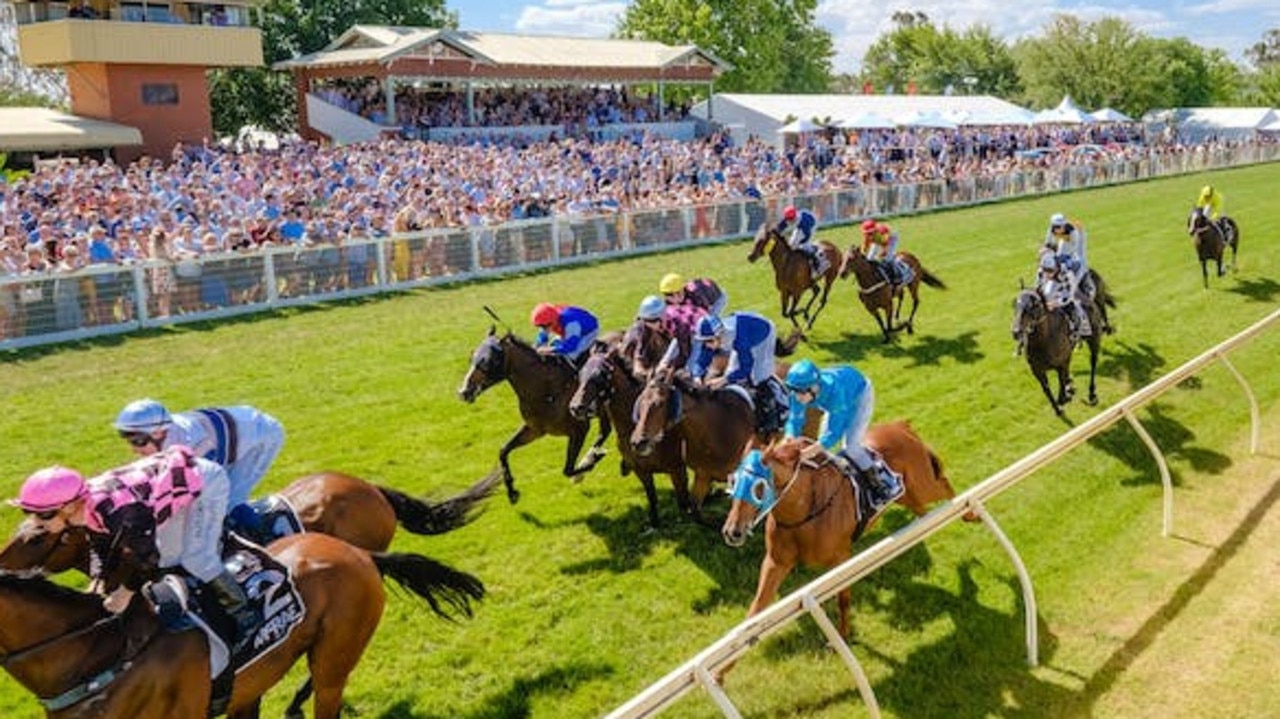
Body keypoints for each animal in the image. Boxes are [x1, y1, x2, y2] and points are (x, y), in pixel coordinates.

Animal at [460, 326, 609, 504]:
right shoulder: (535, 430)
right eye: (472, 358)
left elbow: (568, 469)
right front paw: (512, 492)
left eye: (488, 361)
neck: (545, 390)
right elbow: (503, 451)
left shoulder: (579, 428)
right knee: (605, 431)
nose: (464, 392)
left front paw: (587, 466)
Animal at [568, 345, 691, 524]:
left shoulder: (677, 469)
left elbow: (685, 501)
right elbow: (652, 497)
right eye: (581, 373)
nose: (576, 407)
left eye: (600, 375)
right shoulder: (641, 470)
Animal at [721, 422, 962, 634]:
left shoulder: (840, 559)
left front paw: (844, 634)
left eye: (758, 487)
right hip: (908, 496)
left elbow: (843, 600)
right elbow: (755, 610)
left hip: (922, 484)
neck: (804, 513)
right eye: (732, 482)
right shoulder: (775, 563)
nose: (732, 532)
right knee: (923, 508)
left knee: (943, 485)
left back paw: (967, 512)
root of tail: (901, 426)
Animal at [1013, 282, 1105, 411]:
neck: (1043, 342)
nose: (1016, 332)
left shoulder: (1060, 363)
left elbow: (1061, 386)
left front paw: (1064, 397)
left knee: (1093, 362)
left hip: (1094, 340)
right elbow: (1046, 389)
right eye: (1015, 304)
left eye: (1034, 305)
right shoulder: (1037, 370)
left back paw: (1091, 393)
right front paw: (1058, 409)